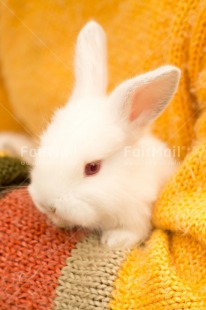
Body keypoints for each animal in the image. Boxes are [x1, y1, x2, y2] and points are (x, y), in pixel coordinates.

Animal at [27, 21, 180, 247]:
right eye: (42, 148)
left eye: (93, 168)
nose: (47, 205)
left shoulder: (136, 210)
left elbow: (134, 230)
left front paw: (114, 240)